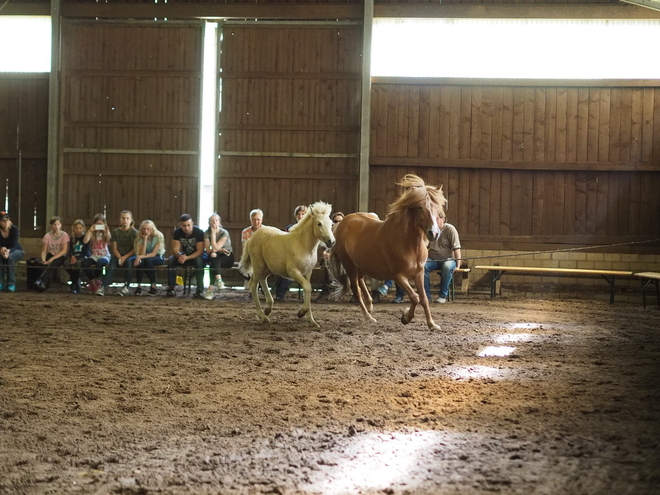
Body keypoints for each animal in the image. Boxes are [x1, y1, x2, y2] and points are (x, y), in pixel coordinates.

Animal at [238, 202, 336, 330]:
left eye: (331, 223)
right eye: (319, 223)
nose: (331, 241)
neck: (303, 245)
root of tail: (252, 238)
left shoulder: (308, 273)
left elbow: (307, 291)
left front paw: (312, 321)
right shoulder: (293, 272)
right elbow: (307, 287)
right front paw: (301, 313)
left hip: (268, 267)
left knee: (263, 280)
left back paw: (268, 309)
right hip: (258, 265)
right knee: (253, 284)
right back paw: (263, 316)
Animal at [328, 174, 446, 330]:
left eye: (436, 207)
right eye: (420, 207)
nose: (434, 233)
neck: (408, 244)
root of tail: (342, 222)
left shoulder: (419, 273)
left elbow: (424, 298)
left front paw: (432, 325)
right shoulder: (398, 276)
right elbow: (415, 297)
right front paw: (406, 317)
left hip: (362, 265)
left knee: (360, 280)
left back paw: (370, 304)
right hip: (349, 265)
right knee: (355, 289)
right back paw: (369, 317)